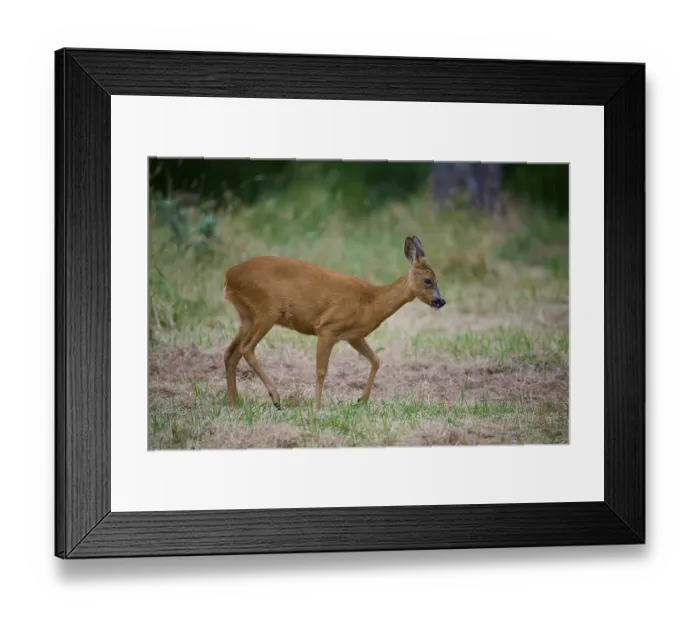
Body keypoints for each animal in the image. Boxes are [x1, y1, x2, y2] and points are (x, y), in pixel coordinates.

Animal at [222, 235, 446, 411]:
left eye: (437, 280)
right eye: (428, 280)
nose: (441, 301)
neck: (372, 301)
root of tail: (228, 277)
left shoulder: (353, 335)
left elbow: (376, 360)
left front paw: (361, 401)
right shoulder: (328, 327)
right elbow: (321, 371)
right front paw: (317, 407)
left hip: (247, 316)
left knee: (230, 353)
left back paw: (235, 403)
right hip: (266, 311)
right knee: (246, 348)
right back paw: (275, 398)